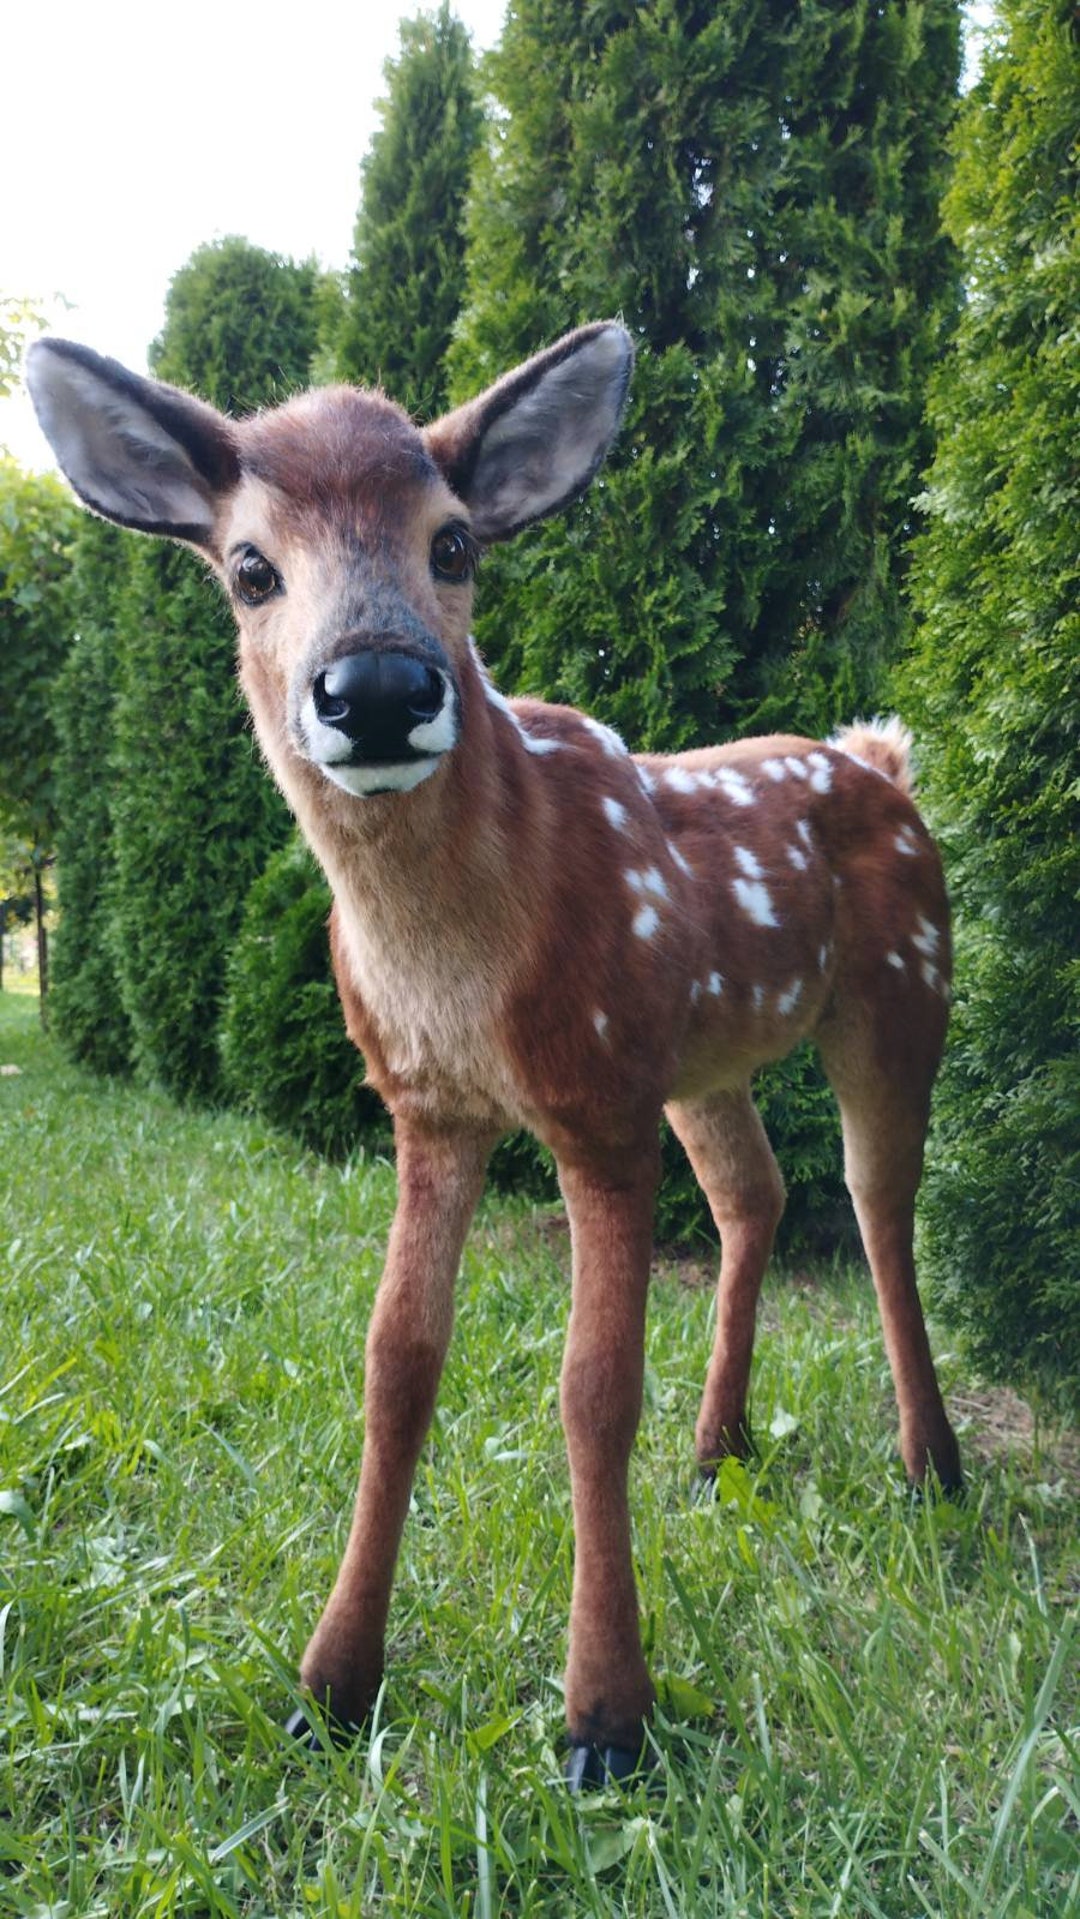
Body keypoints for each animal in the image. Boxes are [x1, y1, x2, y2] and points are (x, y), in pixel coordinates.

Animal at [28, 322, 962, 1788]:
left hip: (896, 990)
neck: (462, 970)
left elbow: (592, 1389)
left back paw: (933, 1467)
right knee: (758, 1194)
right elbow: (396, 1363)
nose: (378, 687)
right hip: (706, 1056)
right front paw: (331, 1682)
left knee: (878, 1204)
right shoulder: (429, 1106)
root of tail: (887, 763)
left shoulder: (597, 1098)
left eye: (454, 542)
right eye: (248, 565)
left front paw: (605, 1717)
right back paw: (719, 1450)